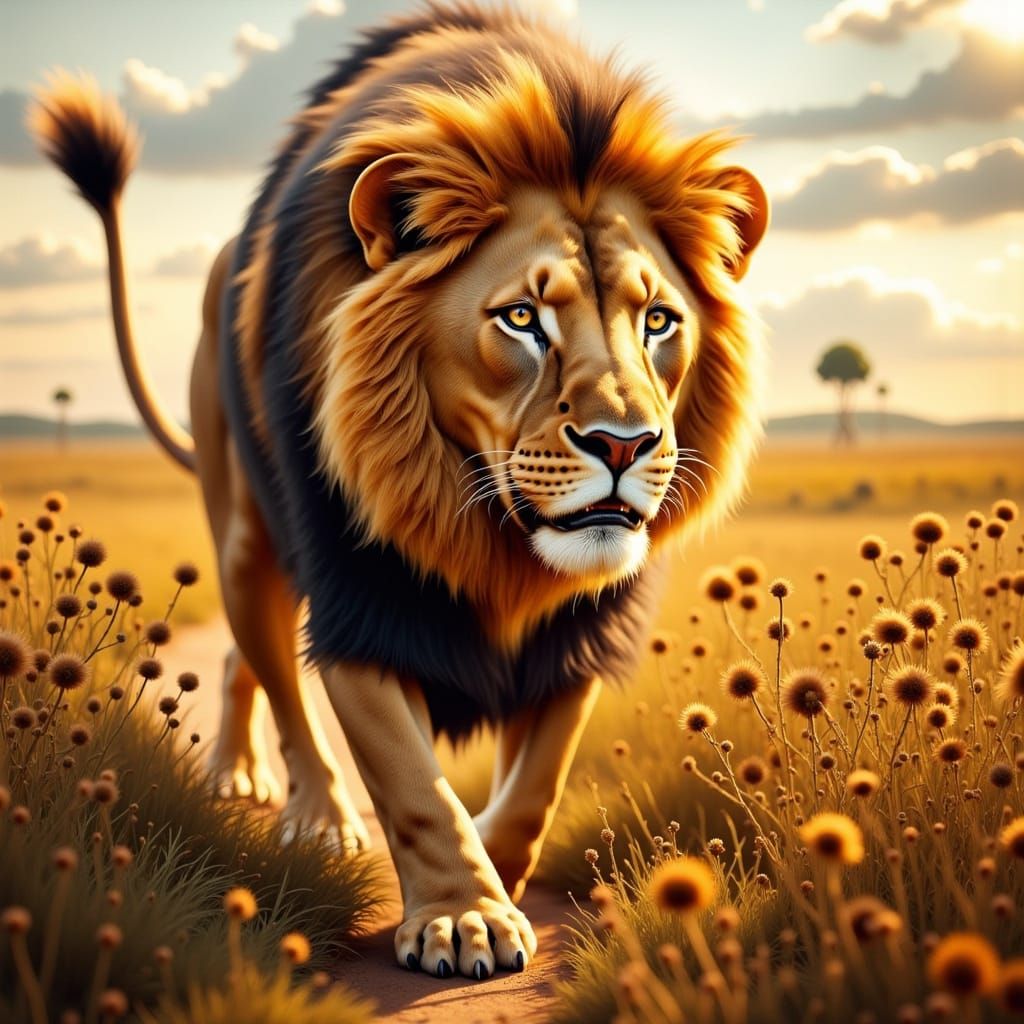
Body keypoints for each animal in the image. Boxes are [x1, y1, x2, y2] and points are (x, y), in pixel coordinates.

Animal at [29, 2, 767, 979]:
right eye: (522, 319)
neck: (489, 529)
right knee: (272, 665)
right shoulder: (362, 593)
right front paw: (463, 917)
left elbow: (536, 784)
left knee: (238, 660)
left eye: (658, 322)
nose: (624, 442)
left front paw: (496, 866)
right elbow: (411, 781)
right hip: (245, 536)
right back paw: (306, 811)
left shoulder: (579, 630)